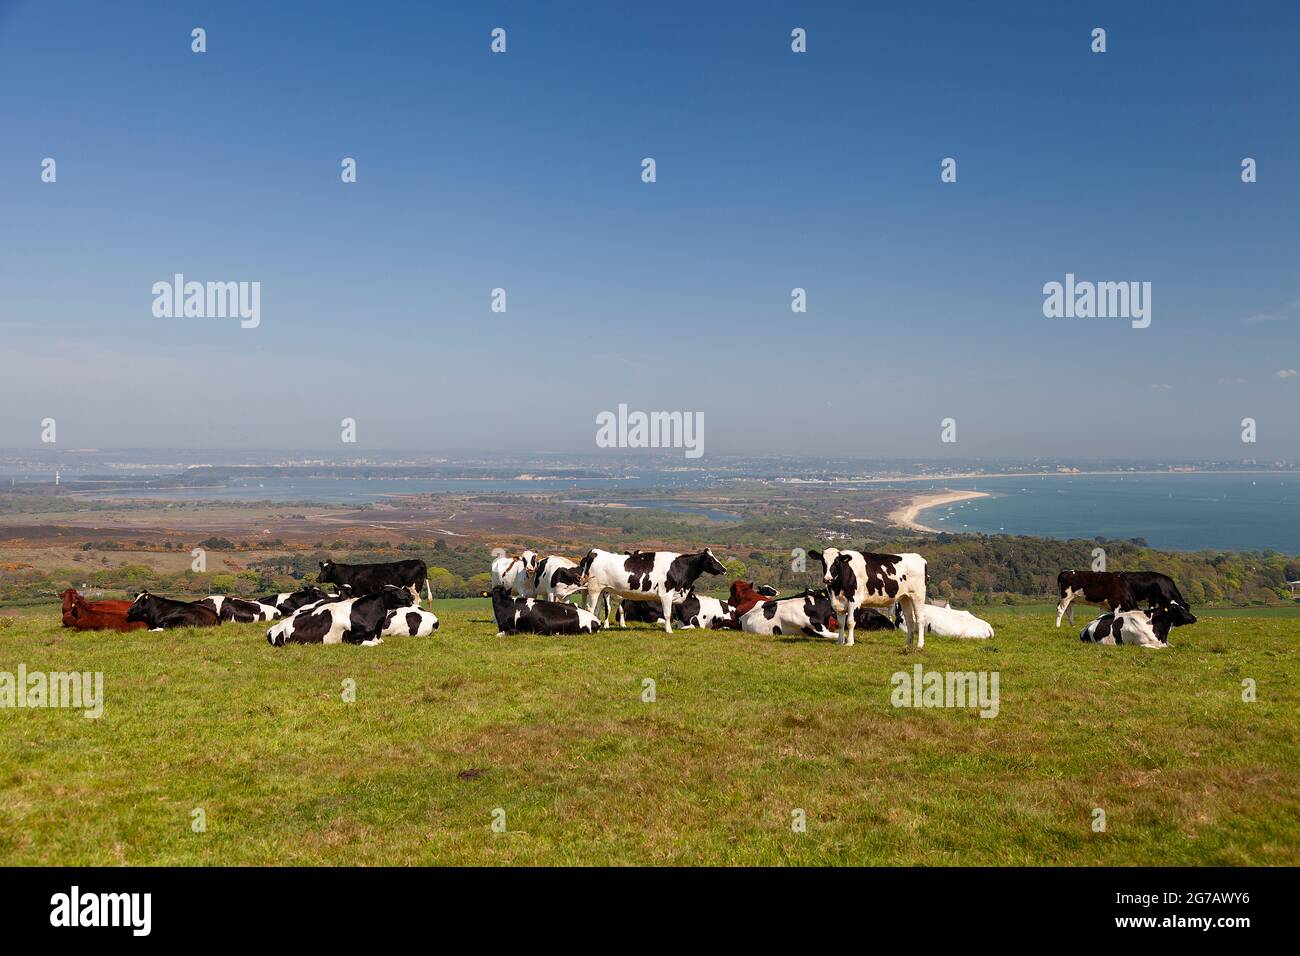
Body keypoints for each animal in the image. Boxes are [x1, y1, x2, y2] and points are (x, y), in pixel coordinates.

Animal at [579, 548, 733, 632]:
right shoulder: (666, 593)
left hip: (601, 590)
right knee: (591, 608)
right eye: (711, 559)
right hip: (594, 589)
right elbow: (667, 614)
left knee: (597, 609)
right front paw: (669, 631)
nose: (724, 569)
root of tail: (595, 552)